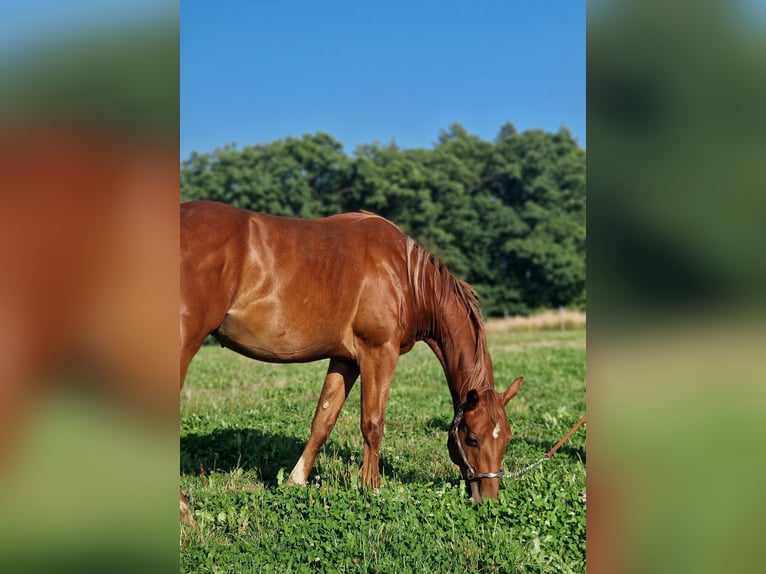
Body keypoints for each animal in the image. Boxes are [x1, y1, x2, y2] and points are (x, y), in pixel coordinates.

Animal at [180, 200, 523, 523]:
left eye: (506, 438)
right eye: (473, 438)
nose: (488, 500)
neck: (406, 275)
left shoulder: (345, 360)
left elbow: (323, 420)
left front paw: (295, 482)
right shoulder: (379, 353)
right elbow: (373, 423)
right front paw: (372, 489)